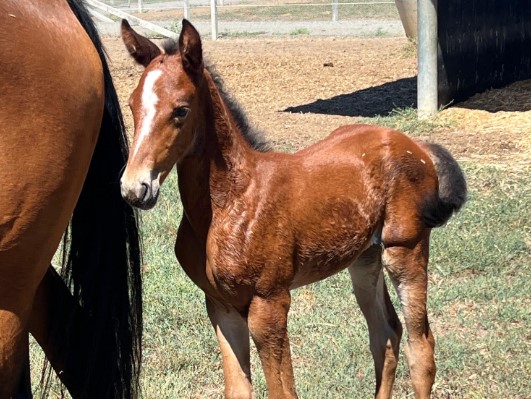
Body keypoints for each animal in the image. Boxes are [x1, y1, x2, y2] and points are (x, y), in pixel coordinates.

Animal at [119, 20, 466, 398]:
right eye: (132, 105)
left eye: (180, 110)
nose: (134, 188)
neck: (231, 202)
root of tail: (416, 145)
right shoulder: (221, 305)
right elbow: (238, 389)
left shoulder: (269, 302)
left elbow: (283, 391)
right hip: (364, 258)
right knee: (386, 335)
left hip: (405, 249)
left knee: (421, 347)